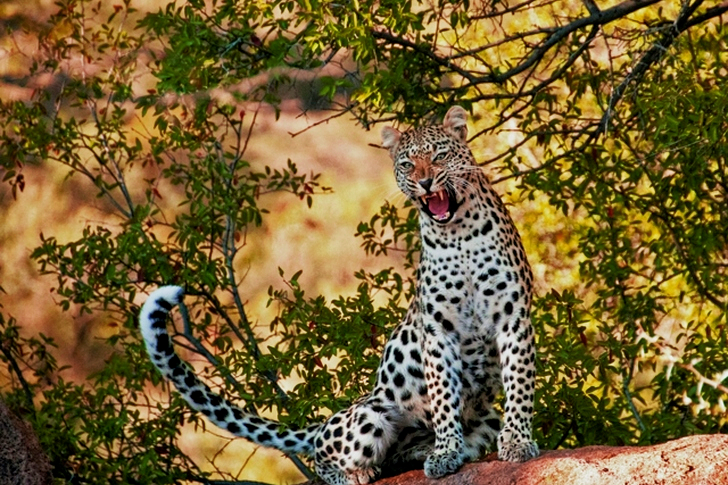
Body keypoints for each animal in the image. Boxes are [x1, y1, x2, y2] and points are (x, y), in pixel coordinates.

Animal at [139, 105, 539, 485]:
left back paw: (416, 454)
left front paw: (518, 442)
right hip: (368, 417)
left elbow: (520, 385)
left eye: (440, 155)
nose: (424, 182)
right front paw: (445, 453)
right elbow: (442, 397)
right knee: (324, 457)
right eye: (407, 164)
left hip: (485, 416)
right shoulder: (439, 330)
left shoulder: (513, 317)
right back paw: (362, 471)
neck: (459, 234)